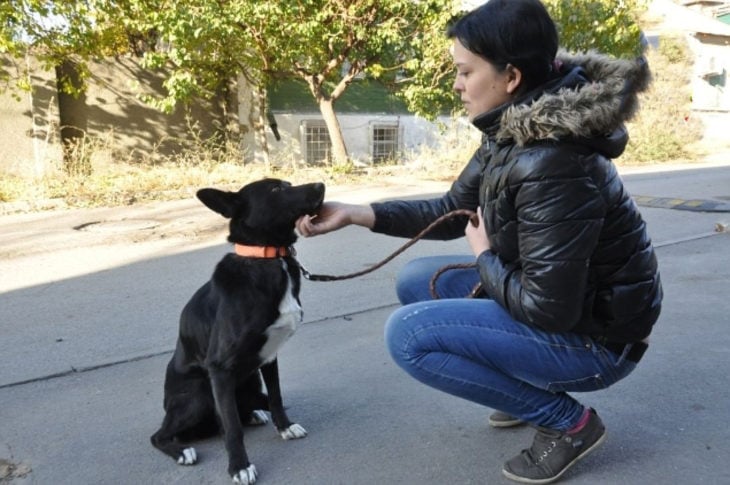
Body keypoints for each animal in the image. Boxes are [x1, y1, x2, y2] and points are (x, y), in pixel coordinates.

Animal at [151, 179, 324, 484]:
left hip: (249, 383)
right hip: (200, 394)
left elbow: (277, 398)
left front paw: (285, 427)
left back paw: (254, 414)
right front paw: (239, 466)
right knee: (160, 435)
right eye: (275, 190)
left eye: (288, 184)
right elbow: (232, 428)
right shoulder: (219, 369)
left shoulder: (269, 358)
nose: (322, 184)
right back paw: (182, 450)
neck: (268, 257)